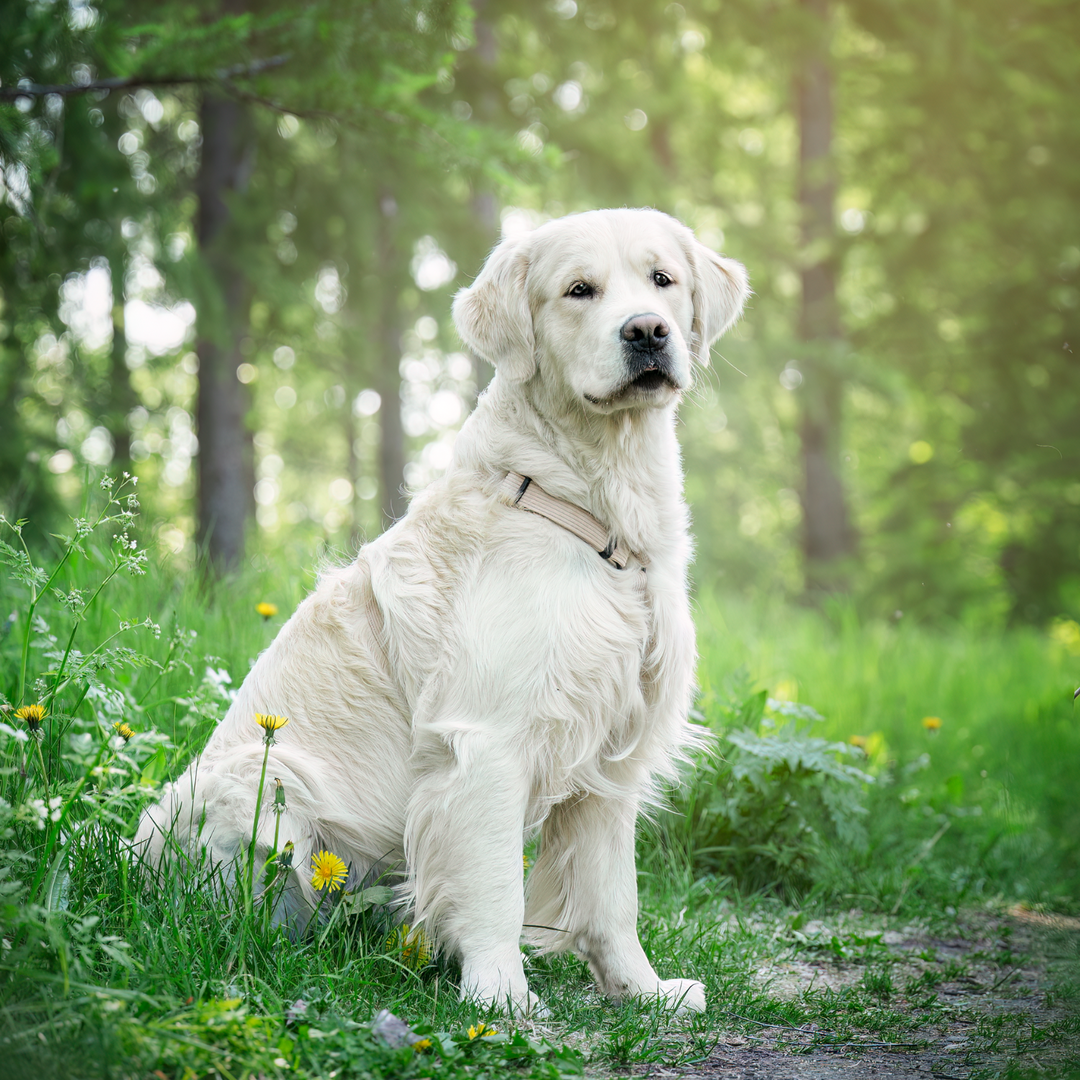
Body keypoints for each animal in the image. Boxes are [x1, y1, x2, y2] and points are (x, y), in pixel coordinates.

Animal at [135, 206, 747, 1015]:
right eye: (578, 290)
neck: (592, 507)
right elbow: (495, 888)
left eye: (663, 280)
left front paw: (642, 990)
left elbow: (612, 896)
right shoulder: (486, 742)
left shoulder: (613, 754)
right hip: (265, 783)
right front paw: (501, 996)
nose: (646, 331)